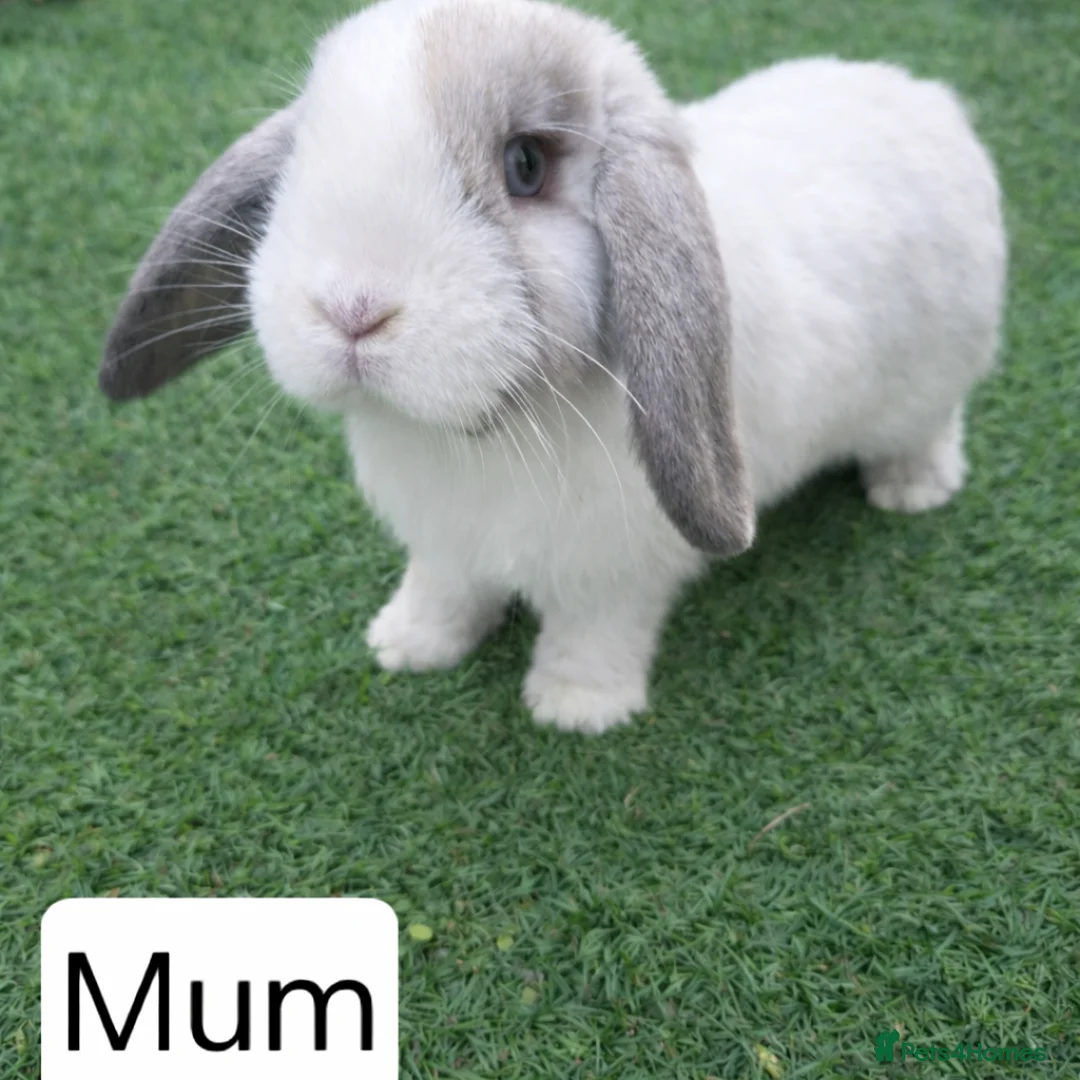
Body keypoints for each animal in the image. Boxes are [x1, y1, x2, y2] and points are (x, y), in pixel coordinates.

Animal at [99, 0, 1006, 734]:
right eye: (302, 162)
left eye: (525, 166)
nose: (352, 308)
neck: (488, 431)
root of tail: (930, 102)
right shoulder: (445, 547)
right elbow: (444, 593)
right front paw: (405, 647)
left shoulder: (617, 572)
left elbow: (594, 634)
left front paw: (574, 709)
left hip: (929, 380)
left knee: (933, 426)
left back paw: (912, 491)